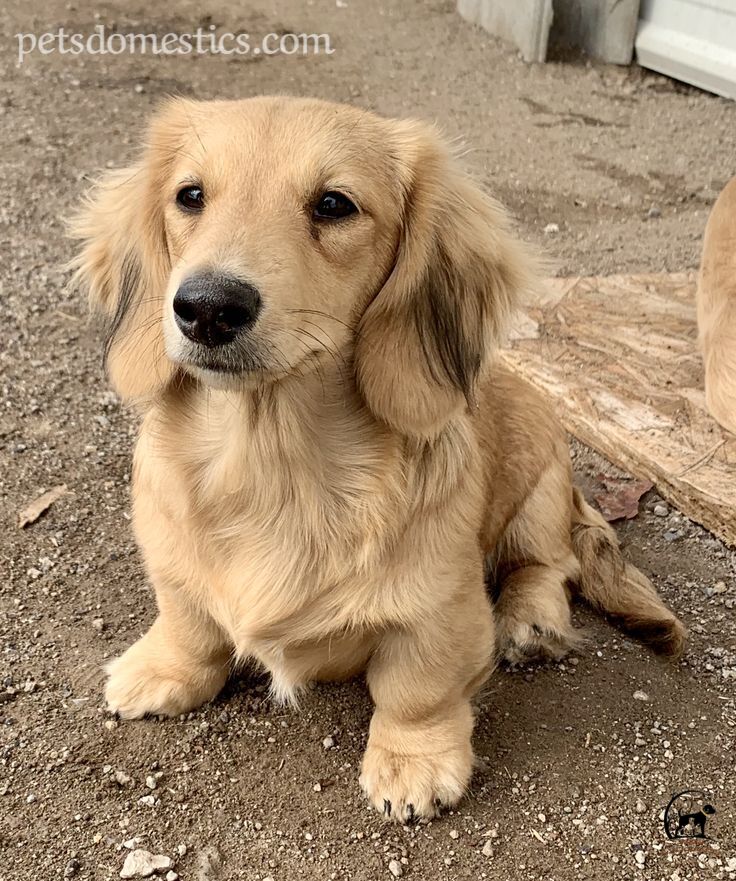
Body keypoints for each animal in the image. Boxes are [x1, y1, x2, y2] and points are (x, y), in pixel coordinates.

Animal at [72, 98, 688, 824]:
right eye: (189, 195)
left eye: (334, 204)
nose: (207, 308)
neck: (272, 462)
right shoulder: (173, 562)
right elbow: (189, 621)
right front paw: (164, 670)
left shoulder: (440, 610)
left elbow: (416, 686)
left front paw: (413, 759)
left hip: (538, 489)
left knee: (549, 563)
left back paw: (531, 620)